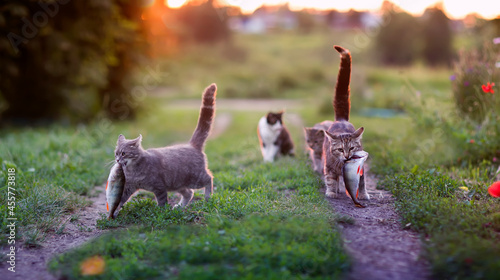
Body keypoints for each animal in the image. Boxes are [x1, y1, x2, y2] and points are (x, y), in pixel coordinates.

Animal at [113, 83, 217, 214]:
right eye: (116, 153)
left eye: (123, 153)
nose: (117, 160)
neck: (133, 171)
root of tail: (191, 145)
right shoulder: (129, 187)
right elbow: (120, 201)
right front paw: (113, 214)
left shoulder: (159, 187)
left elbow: (162, 201)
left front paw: (160, 212)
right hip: (177, 183)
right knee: (189, 193)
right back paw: (179, 207)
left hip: (195, 178)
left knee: (209, 178)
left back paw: (208, 197)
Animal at [322, 46, 370, 199]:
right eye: (340, 149)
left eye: (352, 148)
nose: (347, 156)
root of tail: (341, 119)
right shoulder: (329, 167)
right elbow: (330, 179)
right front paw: (331, 192)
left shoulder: (361, 169)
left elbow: (362, 182)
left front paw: (363, 194)